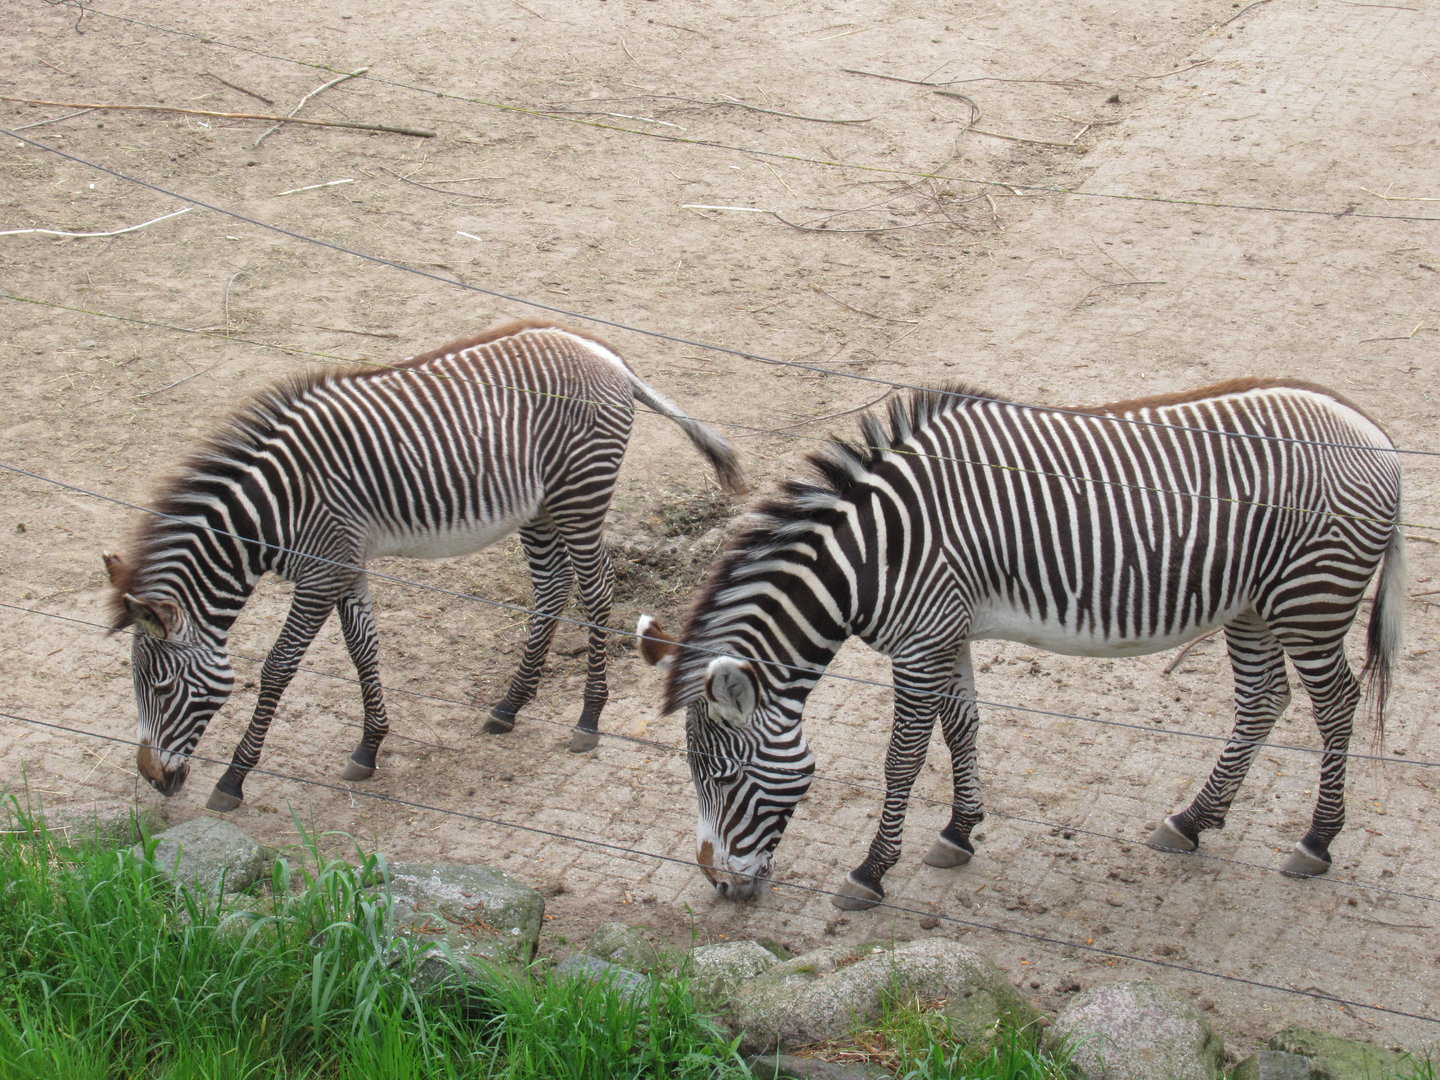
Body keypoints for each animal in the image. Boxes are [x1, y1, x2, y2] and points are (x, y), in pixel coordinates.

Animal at [105, 319, 745, 812]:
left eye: (160, 686)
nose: (152, 780)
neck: (273, 507)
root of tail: (603, 352)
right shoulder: (346, 565)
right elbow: (363, 651)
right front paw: (369, 747)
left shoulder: (320, 572)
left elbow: (278, 669)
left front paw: (235, 778)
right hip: (539, 505)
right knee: (552, 586)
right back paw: (510, 706)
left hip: (579, 494)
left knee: (596, 588)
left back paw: (588, 718)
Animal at [637, 378, 1404, 910]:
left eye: (723, 779)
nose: (718, 886)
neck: (873, 554)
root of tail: (1374, 431)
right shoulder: (945, 631)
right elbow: (963, 726)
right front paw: (959, 831)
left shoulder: (921, 643)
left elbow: (902, 759)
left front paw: (870, 872)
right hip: (1251, 605)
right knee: (1262, 700)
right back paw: (1193, 820)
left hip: (1310, 599)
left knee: (1335, 705)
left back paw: (1316, 841)